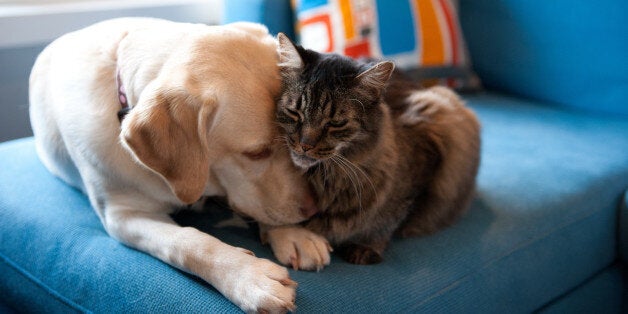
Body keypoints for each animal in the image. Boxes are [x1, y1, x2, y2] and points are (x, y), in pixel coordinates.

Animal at [264, 35, 480, 268]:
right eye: (294, 113)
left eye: (335, 123)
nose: (305, 145)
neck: (326, 179)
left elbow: (389, 219)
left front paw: (366, 246)